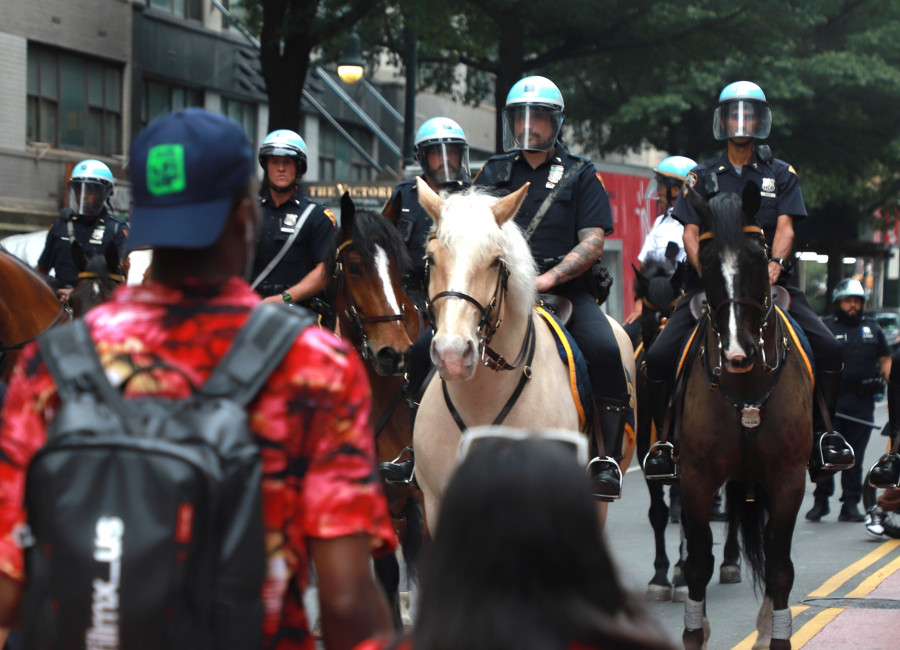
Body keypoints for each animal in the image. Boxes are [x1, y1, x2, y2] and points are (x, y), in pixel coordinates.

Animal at [680, 184, 812, 648]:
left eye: (758, 257)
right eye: (706, 261)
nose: (738, 353)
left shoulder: (789, 479)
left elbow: (780, 567)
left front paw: (777, 634)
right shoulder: (695, 478)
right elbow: (697, 564)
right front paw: (695, 631)